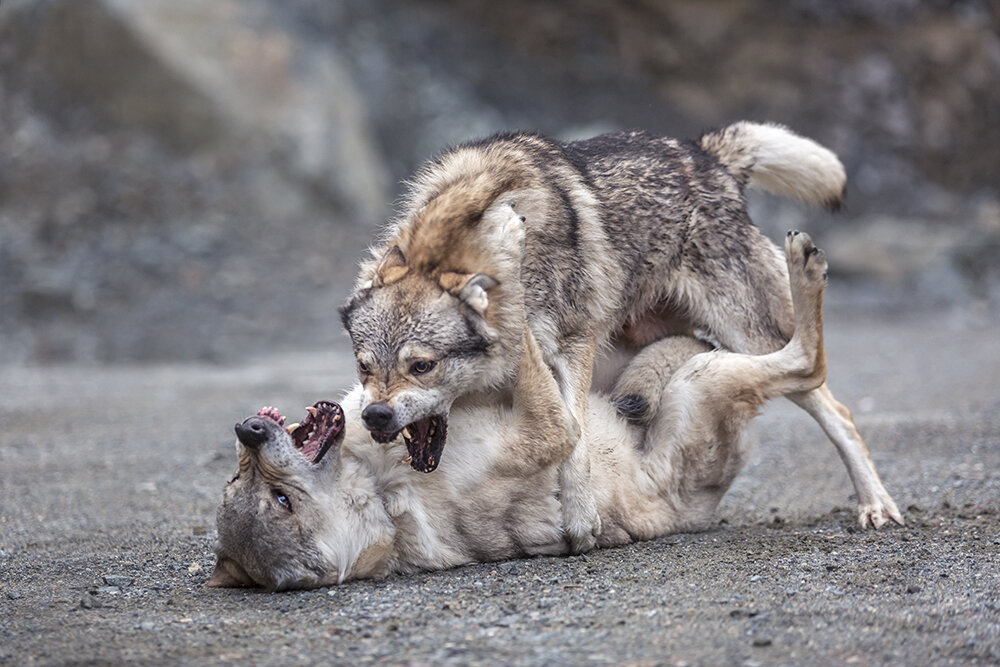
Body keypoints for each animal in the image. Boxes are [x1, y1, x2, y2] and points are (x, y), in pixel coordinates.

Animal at [215, 232, 840, 592]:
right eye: (279, 500)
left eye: (233, 479)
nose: (247, 430)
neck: (378, 480)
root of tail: (704, 510)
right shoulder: (549, 427)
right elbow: (532, 366)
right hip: (707, 381)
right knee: (804, 361)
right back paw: (803, 267)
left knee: (693, 342)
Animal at [342, 125, 908, 552]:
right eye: (365, 368)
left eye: (422, 366)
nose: (375, 416)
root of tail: (706, 154)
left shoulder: (573, 347)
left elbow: (573, 437)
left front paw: (581, 519)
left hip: (748, 333)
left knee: (834, 405)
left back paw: (876, 505)